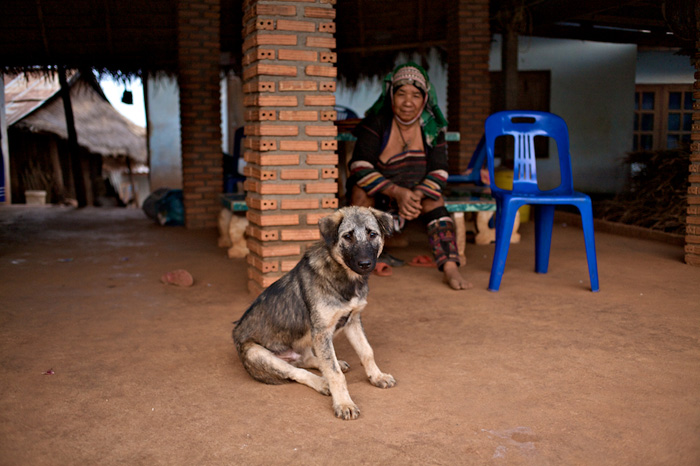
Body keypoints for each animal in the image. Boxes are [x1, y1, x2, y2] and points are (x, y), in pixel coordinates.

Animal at [232, 206, 396, 420]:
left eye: (372, 234)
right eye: (348, 237)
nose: (365, 263)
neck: (345, 277)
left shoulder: (352, 321)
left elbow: (367, 352)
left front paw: (377, 376)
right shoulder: (322, 332)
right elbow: (334, 373)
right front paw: (344, 403)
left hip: (308, 342)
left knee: (308, 360)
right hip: (257, 353)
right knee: (297, 372)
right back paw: (322, 383)